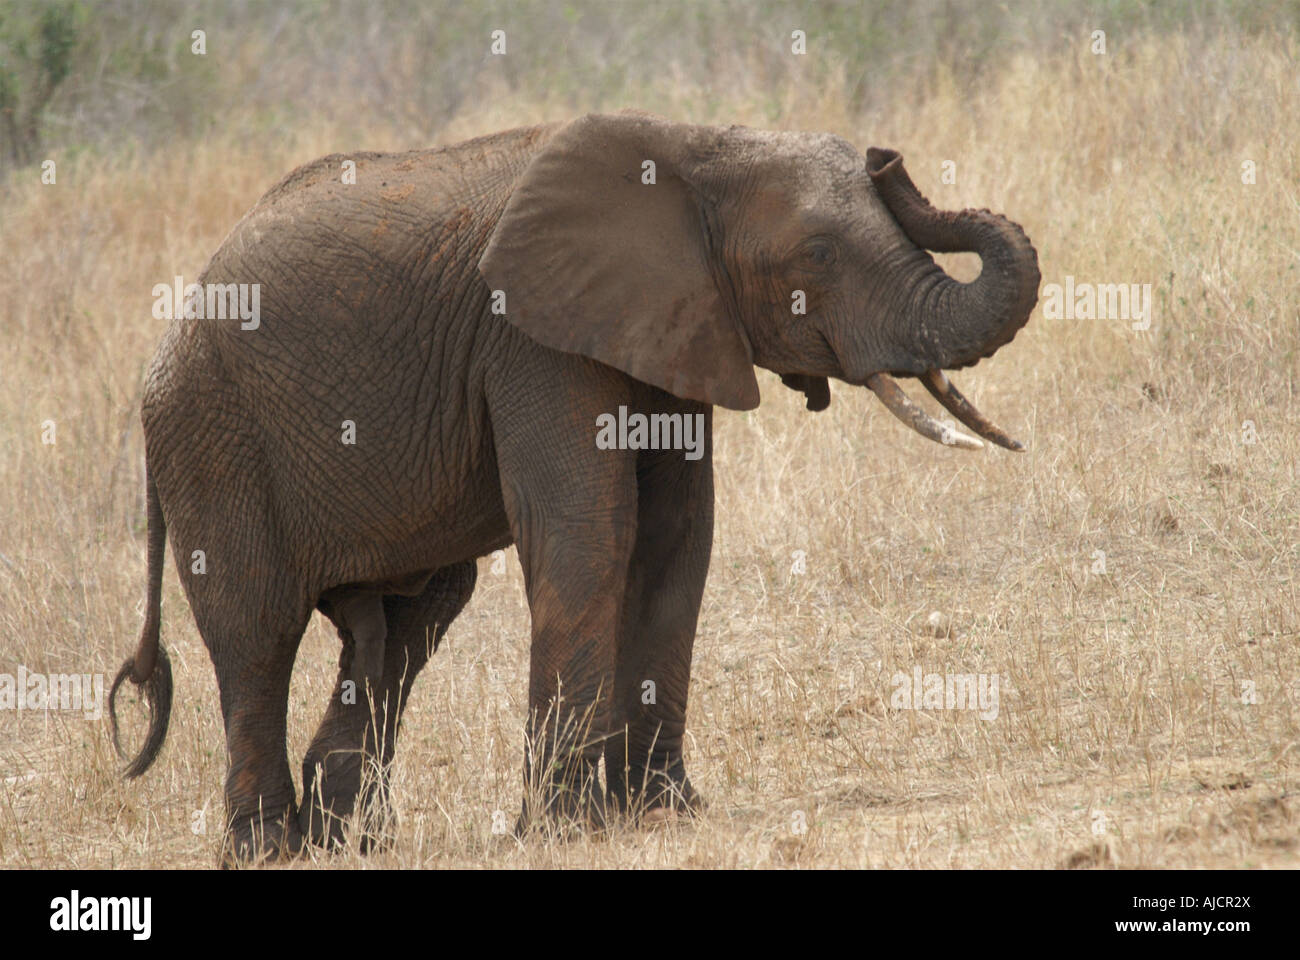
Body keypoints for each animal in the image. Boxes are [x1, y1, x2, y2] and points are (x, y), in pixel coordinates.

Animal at [111, 108, 1040, 863]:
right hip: (211, 440)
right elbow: (593, 529)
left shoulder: (673, 325)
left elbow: (675, 538)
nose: (888, 158)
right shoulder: (529, 339)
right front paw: (564, 831)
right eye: (816, 256)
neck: (694, 148)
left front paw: (664, 811)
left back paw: (349, 840)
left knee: (408, 624)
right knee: (258, 631)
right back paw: (268, 846)